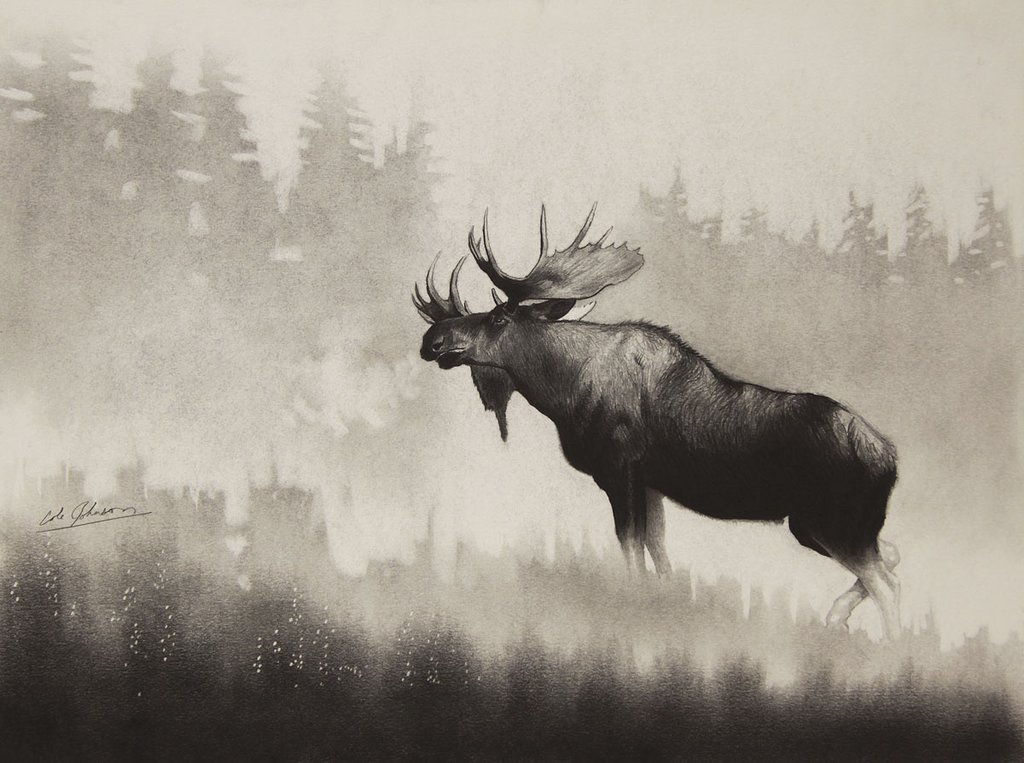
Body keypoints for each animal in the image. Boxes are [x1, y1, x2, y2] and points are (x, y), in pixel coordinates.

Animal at [415, 204, 902, 639]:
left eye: (499, 316)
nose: (431, 340)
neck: (562, 391)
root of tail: (889, 458)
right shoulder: (650, 483)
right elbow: (659, 553)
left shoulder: (619, 468)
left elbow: (630, 547)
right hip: (828, 525)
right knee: (892, 562)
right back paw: (837, 618)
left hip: (831, 521)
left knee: (886, 584)